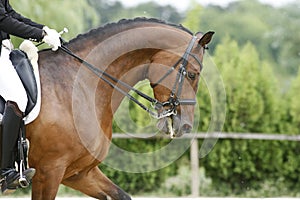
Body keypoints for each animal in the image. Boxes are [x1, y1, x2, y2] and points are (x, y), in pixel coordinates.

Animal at [25, 18, 213, 199]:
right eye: (192, 74)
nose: (186, 126)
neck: (79, 84)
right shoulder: (49, 171)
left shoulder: (78, 173)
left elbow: (121, 195)